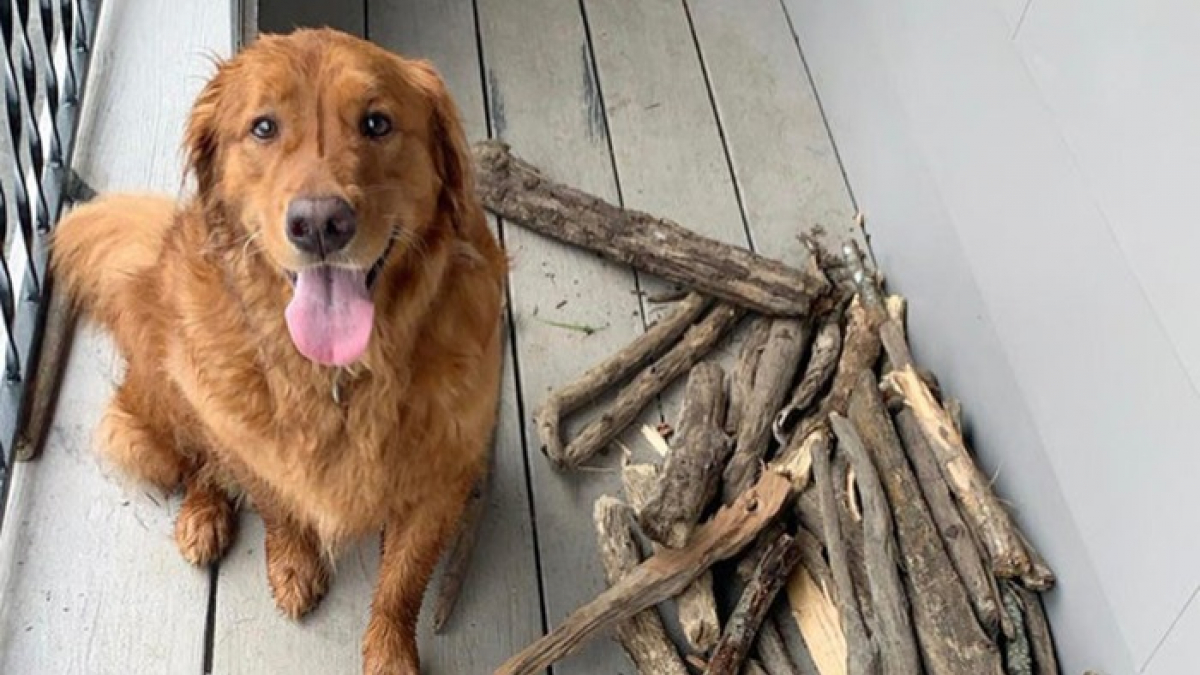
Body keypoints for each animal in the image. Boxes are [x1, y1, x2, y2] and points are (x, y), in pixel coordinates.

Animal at [48, 28, 501, 667]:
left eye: (377, 123)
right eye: (263, 127)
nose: (320, 224)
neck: (339, 377)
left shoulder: (444, 479)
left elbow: (403, 581)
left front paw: (389, 653)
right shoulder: (251, 445)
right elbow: (277, 506)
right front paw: (292, 565)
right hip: (159, 415)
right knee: (200, 460)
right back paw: (203, 515)